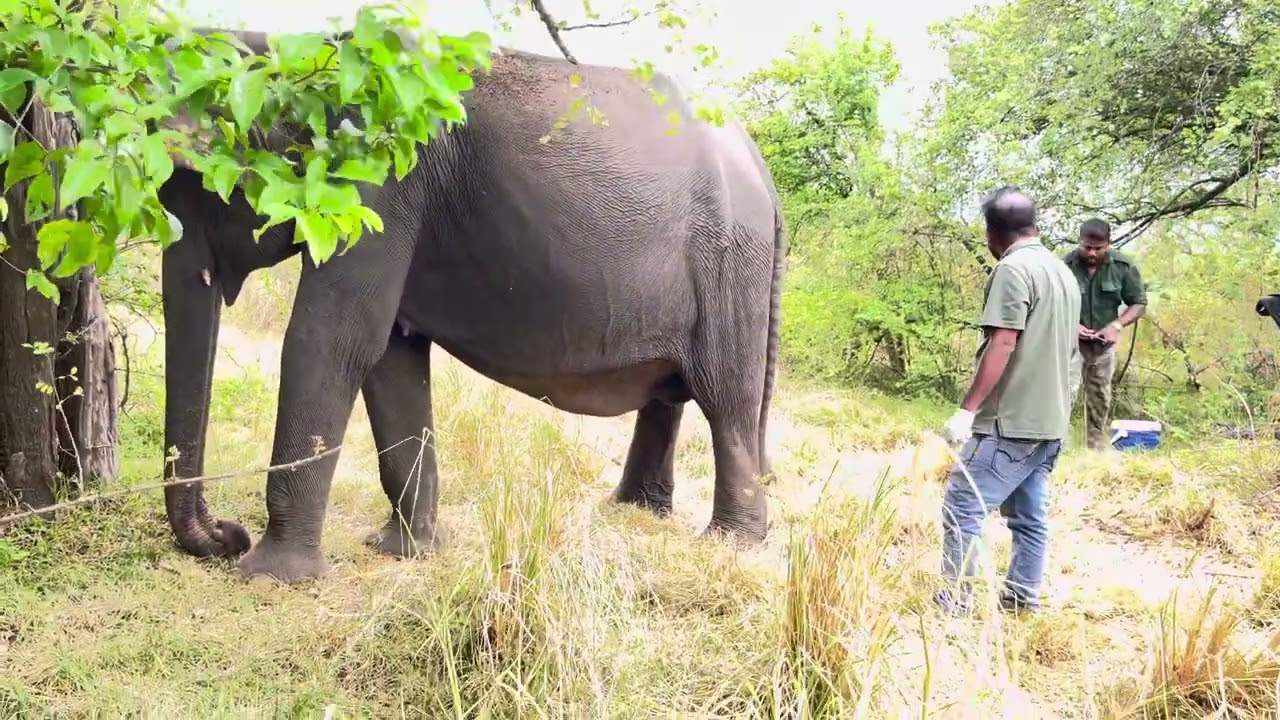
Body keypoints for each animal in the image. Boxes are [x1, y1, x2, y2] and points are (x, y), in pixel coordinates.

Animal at [157, 28, 785, 583]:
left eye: (197, 187)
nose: (227, 534)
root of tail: (763, 171)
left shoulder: (380, 184)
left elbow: (331, 340)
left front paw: (268, 578)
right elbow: (392, 358)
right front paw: (406, 552)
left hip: (730, 266)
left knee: (726, 400)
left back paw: (728, 545)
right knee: (671, 392)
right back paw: (636, 511)